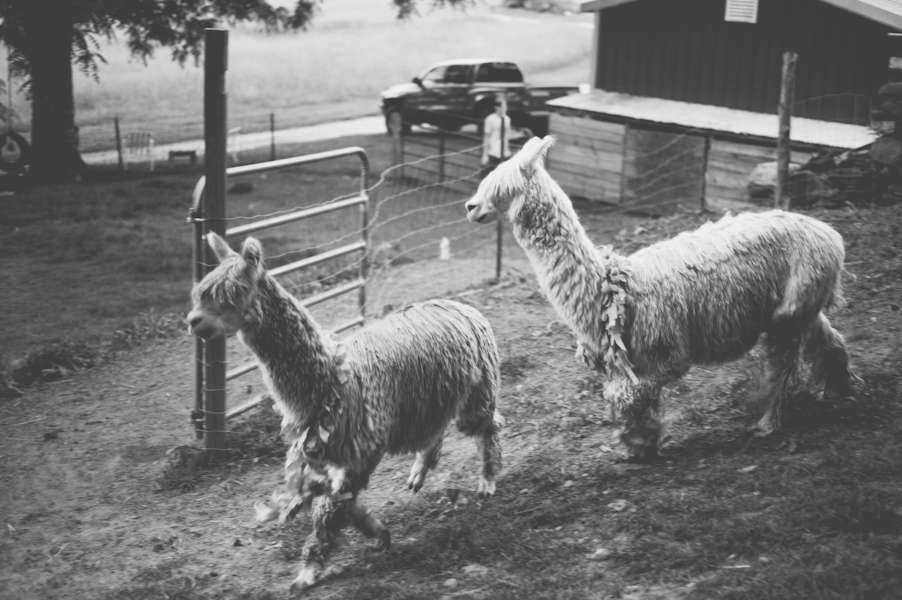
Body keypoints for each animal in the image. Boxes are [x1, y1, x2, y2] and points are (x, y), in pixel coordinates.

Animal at [187, 232, 502, 592]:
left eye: (233, 291)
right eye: (199, 293)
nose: (194, 321)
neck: (331, 381)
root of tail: (462, 306)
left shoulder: (359, 447)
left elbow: (330, 510)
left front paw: (308, 572)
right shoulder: (324, 448)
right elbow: (338, 502)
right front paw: (377, 532)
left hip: (478, 387)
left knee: (487, 426)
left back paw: (487, 481)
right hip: (429, 399)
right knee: (434, 433)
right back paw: (418, 475)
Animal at [464, 135, 856, 460]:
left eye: (502, 185)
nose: (470, 206)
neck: (608, 286)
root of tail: (829, 234)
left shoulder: (663, 351)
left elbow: (631, 395)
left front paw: (638, 446)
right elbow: (629, 396)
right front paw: (639, 444)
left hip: (790, 310)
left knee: (781, 365)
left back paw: (767, 423)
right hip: (800, 305)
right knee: (829, 342)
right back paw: (838, 394)